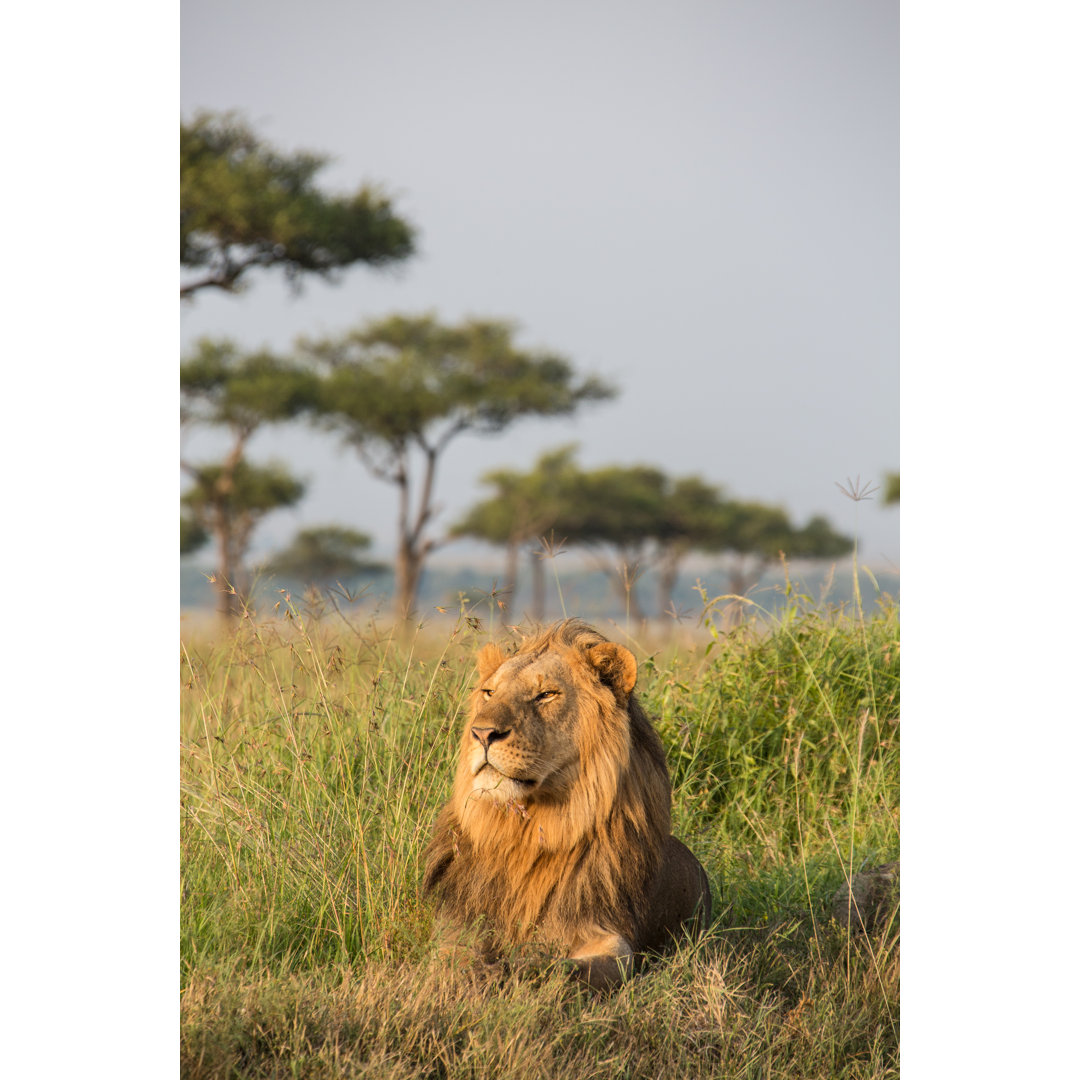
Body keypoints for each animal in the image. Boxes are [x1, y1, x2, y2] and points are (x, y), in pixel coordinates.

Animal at [423, 622, 717, 989]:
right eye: (489, 693)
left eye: (546, 694)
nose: (482, 733)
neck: (525, 835)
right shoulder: (457, 926)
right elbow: (449, 958)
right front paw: (471, 974)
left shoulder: (609, 936)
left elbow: (563, 968)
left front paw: (511, 971)